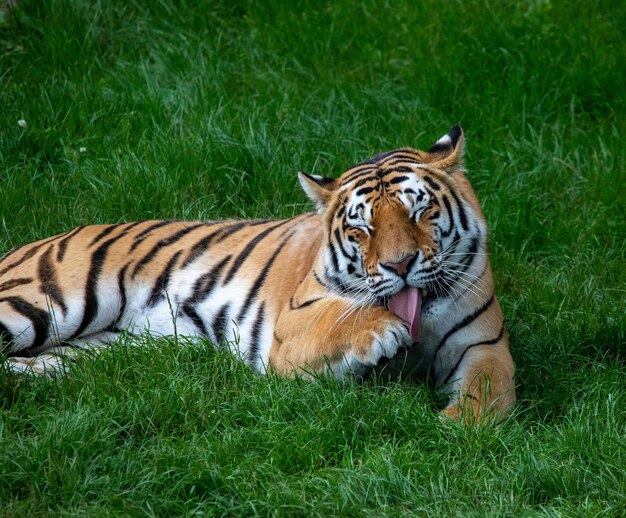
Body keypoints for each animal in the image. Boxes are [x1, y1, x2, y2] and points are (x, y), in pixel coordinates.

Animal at [1, 126, 512, 422]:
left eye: (419, 211)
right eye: (361, 228)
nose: (400, 265)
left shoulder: (482, 346)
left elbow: (490, 394)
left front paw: (456, 428)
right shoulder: (290, 329)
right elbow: (340, 320)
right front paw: (381, 332)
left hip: (95, 351)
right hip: (40, 302)